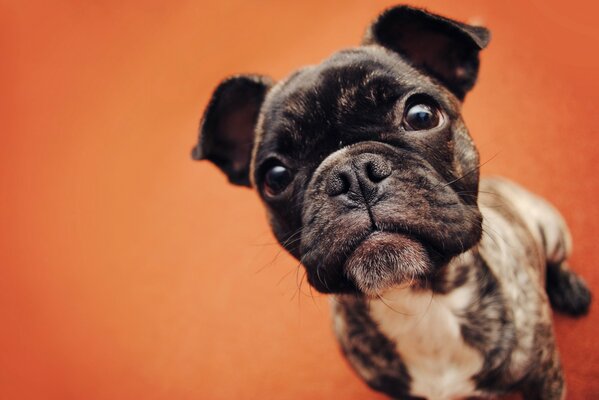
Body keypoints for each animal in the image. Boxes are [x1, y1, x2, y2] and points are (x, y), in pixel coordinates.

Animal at [191, 4, 592, 398]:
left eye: (421, 115)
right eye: (275, 177)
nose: (353, 174)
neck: (419, 301)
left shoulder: (544, 380)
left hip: (551, 226)